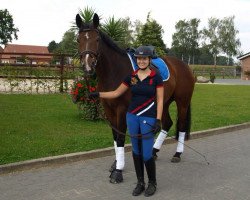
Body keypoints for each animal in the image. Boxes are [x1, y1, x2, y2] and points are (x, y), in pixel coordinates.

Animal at [75, 13, 195, 184]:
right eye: (78, 40)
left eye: (96, 39)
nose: (87, 66)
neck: (115, 71)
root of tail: (184, 66)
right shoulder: (109, 110)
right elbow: (115, 136)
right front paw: (116, 164)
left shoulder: (122, 110)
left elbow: (120, 138)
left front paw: (118, 172)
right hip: (163, 102)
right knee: (167, 123)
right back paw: (153, 151)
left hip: (182, 102)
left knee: (182, 125)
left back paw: (177, 154)